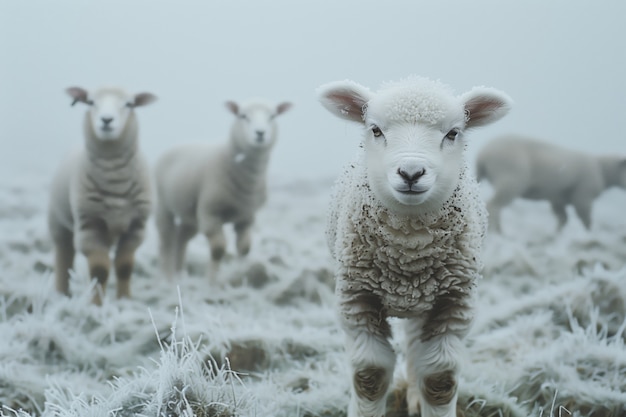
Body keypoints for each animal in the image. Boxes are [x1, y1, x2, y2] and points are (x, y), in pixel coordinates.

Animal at [47, 85, 157, 306]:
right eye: (91, 102)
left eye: (129, 104)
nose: (106, 120)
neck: (115, 181)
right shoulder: (89, 226)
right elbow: (100, 271)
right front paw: (96, 305)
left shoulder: (136, 228)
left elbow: (124, 267)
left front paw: (125, 300)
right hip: (58, 224)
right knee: (63, 258)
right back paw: (61, 294)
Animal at [156, 96, 292, 282]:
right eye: (243, 116)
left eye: (273, 116)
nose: (260, 133)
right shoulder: (210, 213)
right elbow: (218, 249)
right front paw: (211, 282)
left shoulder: (247, 217)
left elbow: (244, 248)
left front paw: (241, 275)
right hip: (163, 205)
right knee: (167, 239)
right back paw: (167, 277)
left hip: (191, 215)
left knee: (181, 237)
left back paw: (179, 274)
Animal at [314, 75, 510, 416]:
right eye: (375, 130)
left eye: (452, 133)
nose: (410, 172)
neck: (408, 250)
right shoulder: (357, 299)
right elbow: (369, 376)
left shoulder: (454, 302)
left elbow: (440, 379)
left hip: (427, 301)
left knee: (417, 346)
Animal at [476, 136, 620, 234]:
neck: (602, 169)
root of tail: (482, 154)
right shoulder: (583, 197)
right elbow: (586, 220)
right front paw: (588, 236)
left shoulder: (557, 200)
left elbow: (563, 219)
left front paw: (556, 236)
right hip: (510, 181)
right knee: (494, 205)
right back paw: (497, 232)